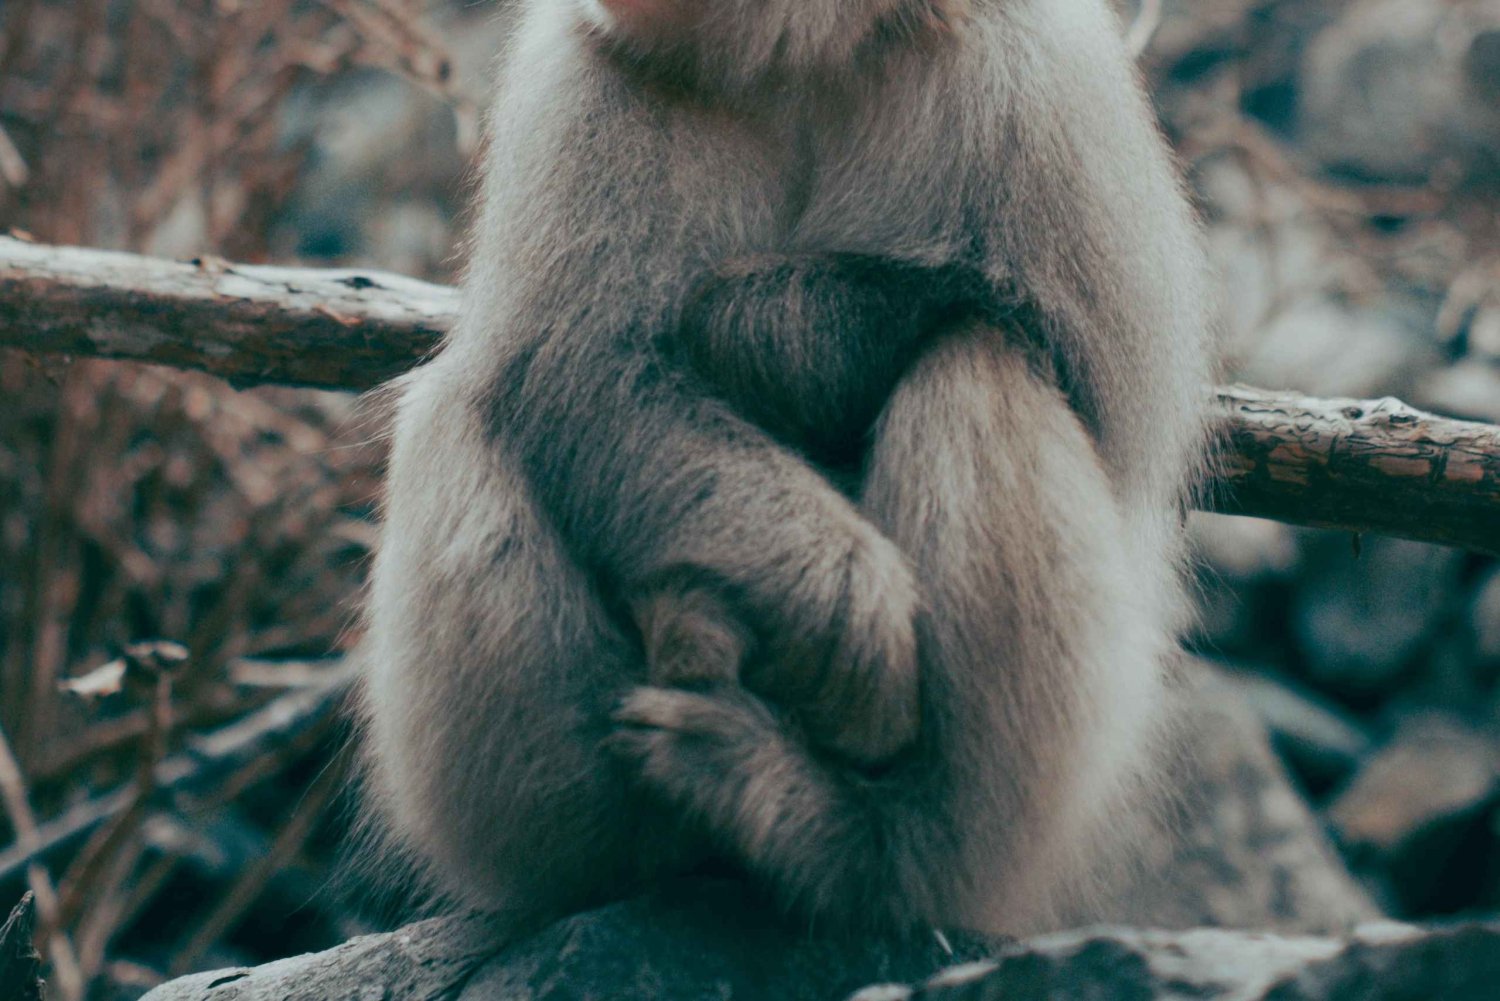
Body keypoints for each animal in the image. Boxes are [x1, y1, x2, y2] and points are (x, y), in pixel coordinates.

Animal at [358, 0, 1214, 939]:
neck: (807, 55)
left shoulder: (1033, 71)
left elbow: (1091, 378)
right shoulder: (589, 75)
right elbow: (581, 377)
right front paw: (853, 619)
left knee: (977, 360)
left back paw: (862, 844)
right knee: (454, 413)